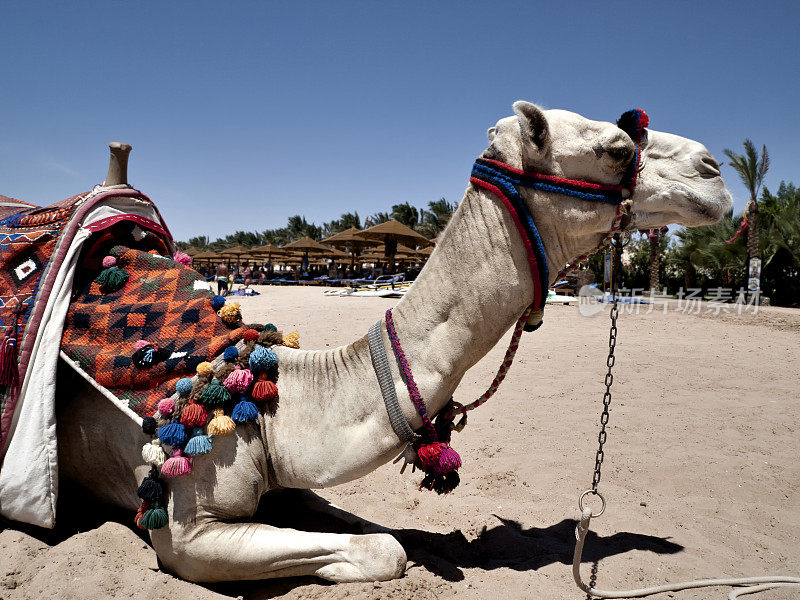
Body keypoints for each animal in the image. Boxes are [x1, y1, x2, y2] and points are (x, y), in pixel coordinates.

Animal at [53, 102, 736, 580]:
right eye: (616, 148)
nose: (714, 171)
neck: (270, 400)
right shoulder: (184, 531)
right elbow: (387, 550)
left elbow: (364, 527)